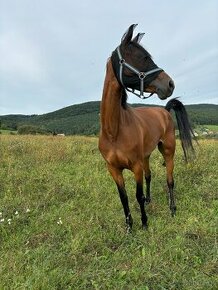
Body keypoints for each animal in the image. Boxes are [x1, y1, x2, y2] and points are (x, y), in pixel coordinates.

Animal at [99, 24, 194, 231]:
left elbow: (137, 195)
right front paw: (129, 227)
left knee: (170, 180)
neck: (114, 132)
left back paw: (172, 208)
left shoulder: (135, 167)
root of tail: (164, 111)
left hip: (168, 151)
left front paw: (143, 223)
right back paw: (151, 200)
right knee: (150, 176)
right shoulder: (114, 170)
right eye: (142, 58)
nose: (170, 84)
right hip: (146, 156)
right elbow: (124, 197)